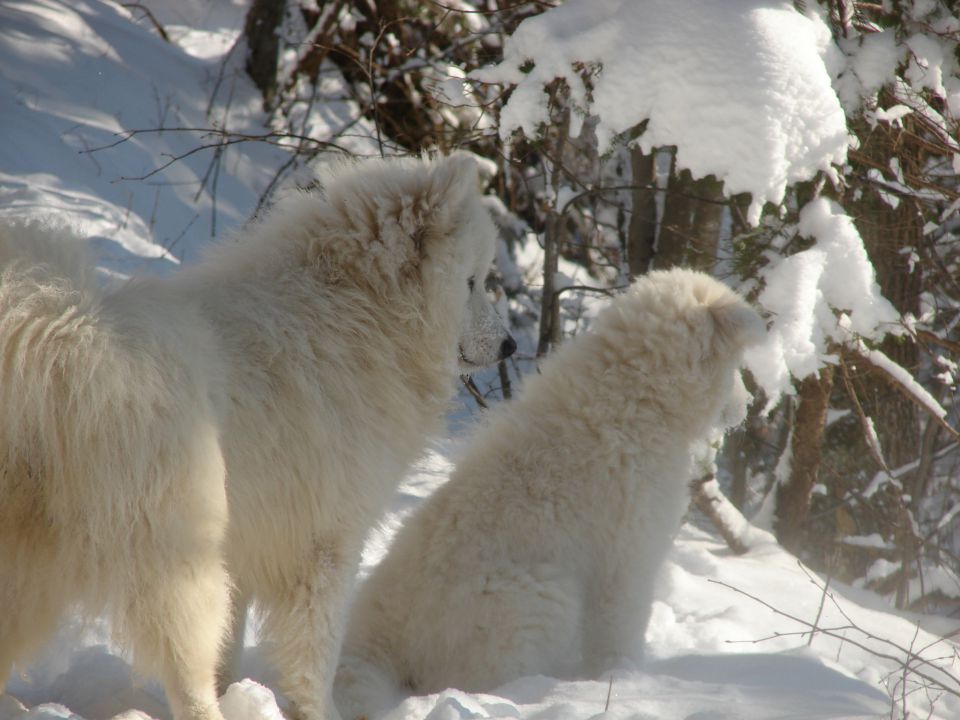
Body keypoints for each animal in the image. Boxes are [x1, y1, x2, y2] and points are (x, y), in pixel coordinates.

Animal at [0, 155, 516, 720]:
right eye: (473, 280)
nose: (511, 346)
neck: (357, 314)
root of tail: (66, 335)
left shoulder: (250, 545)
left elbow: (232, 645)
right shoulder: (326, 544)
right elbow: (316, 656)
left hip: (31, 569)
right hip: (180, 557)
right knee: (187, 673)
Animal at [334, 268, 760, 716]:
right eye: (736, 368)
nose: (748, 405)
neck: (636, 394)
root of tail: (375, 637)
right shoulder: (628, 557)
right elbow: (620, 631)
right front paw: (622, 677)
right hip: (543, 598)